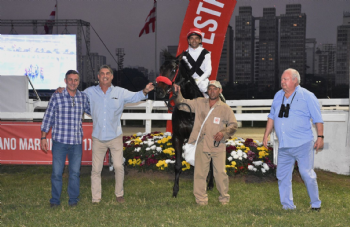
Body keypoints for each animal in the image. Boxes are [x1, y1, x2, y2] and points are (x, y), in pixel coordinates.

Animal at [155, 51, 215, 197]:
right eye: (161, 68)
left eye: (173, 69)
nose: (159, 91)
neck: (189, 109)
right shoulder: (178, 137)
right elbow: (177, 165)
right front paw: (175, 190)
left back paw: (210, 183)